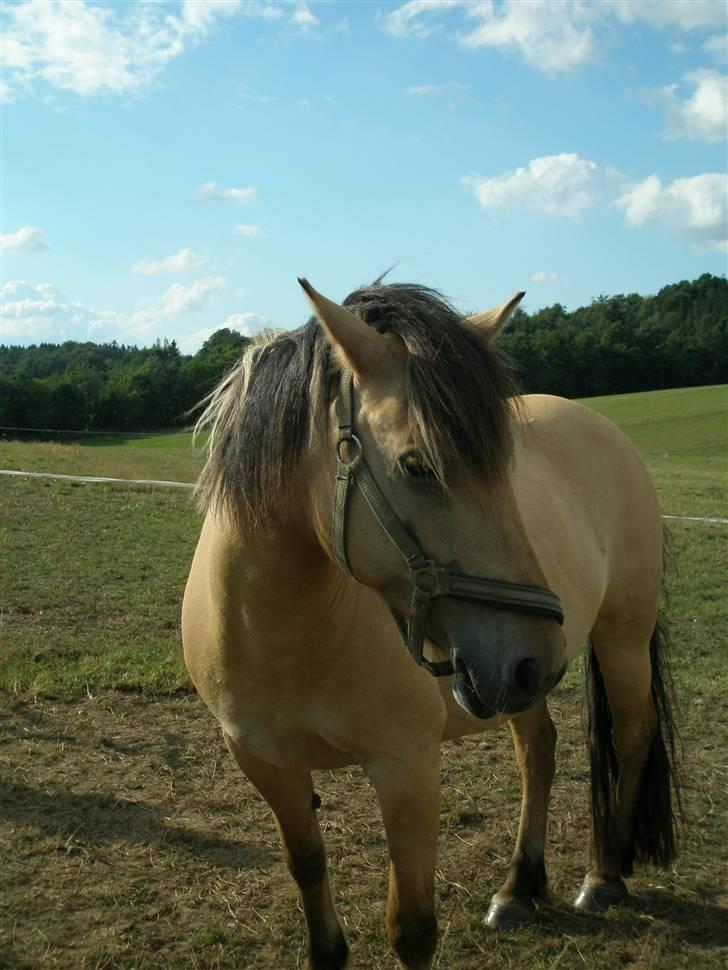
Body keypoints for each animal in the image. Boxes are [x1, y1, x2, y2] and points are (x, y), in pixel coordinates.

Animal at [181, 278, 676, 968]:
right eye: (418, 466)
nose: (540, 655)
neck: (287, 634)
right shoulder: (266, 765)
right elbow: (308, 869)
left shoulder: (406, 767)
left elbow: (412, 928)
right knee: (538, 751)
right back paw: (519, 889)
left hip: (612, 641)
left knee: (631, 737)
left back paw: (604, 878)